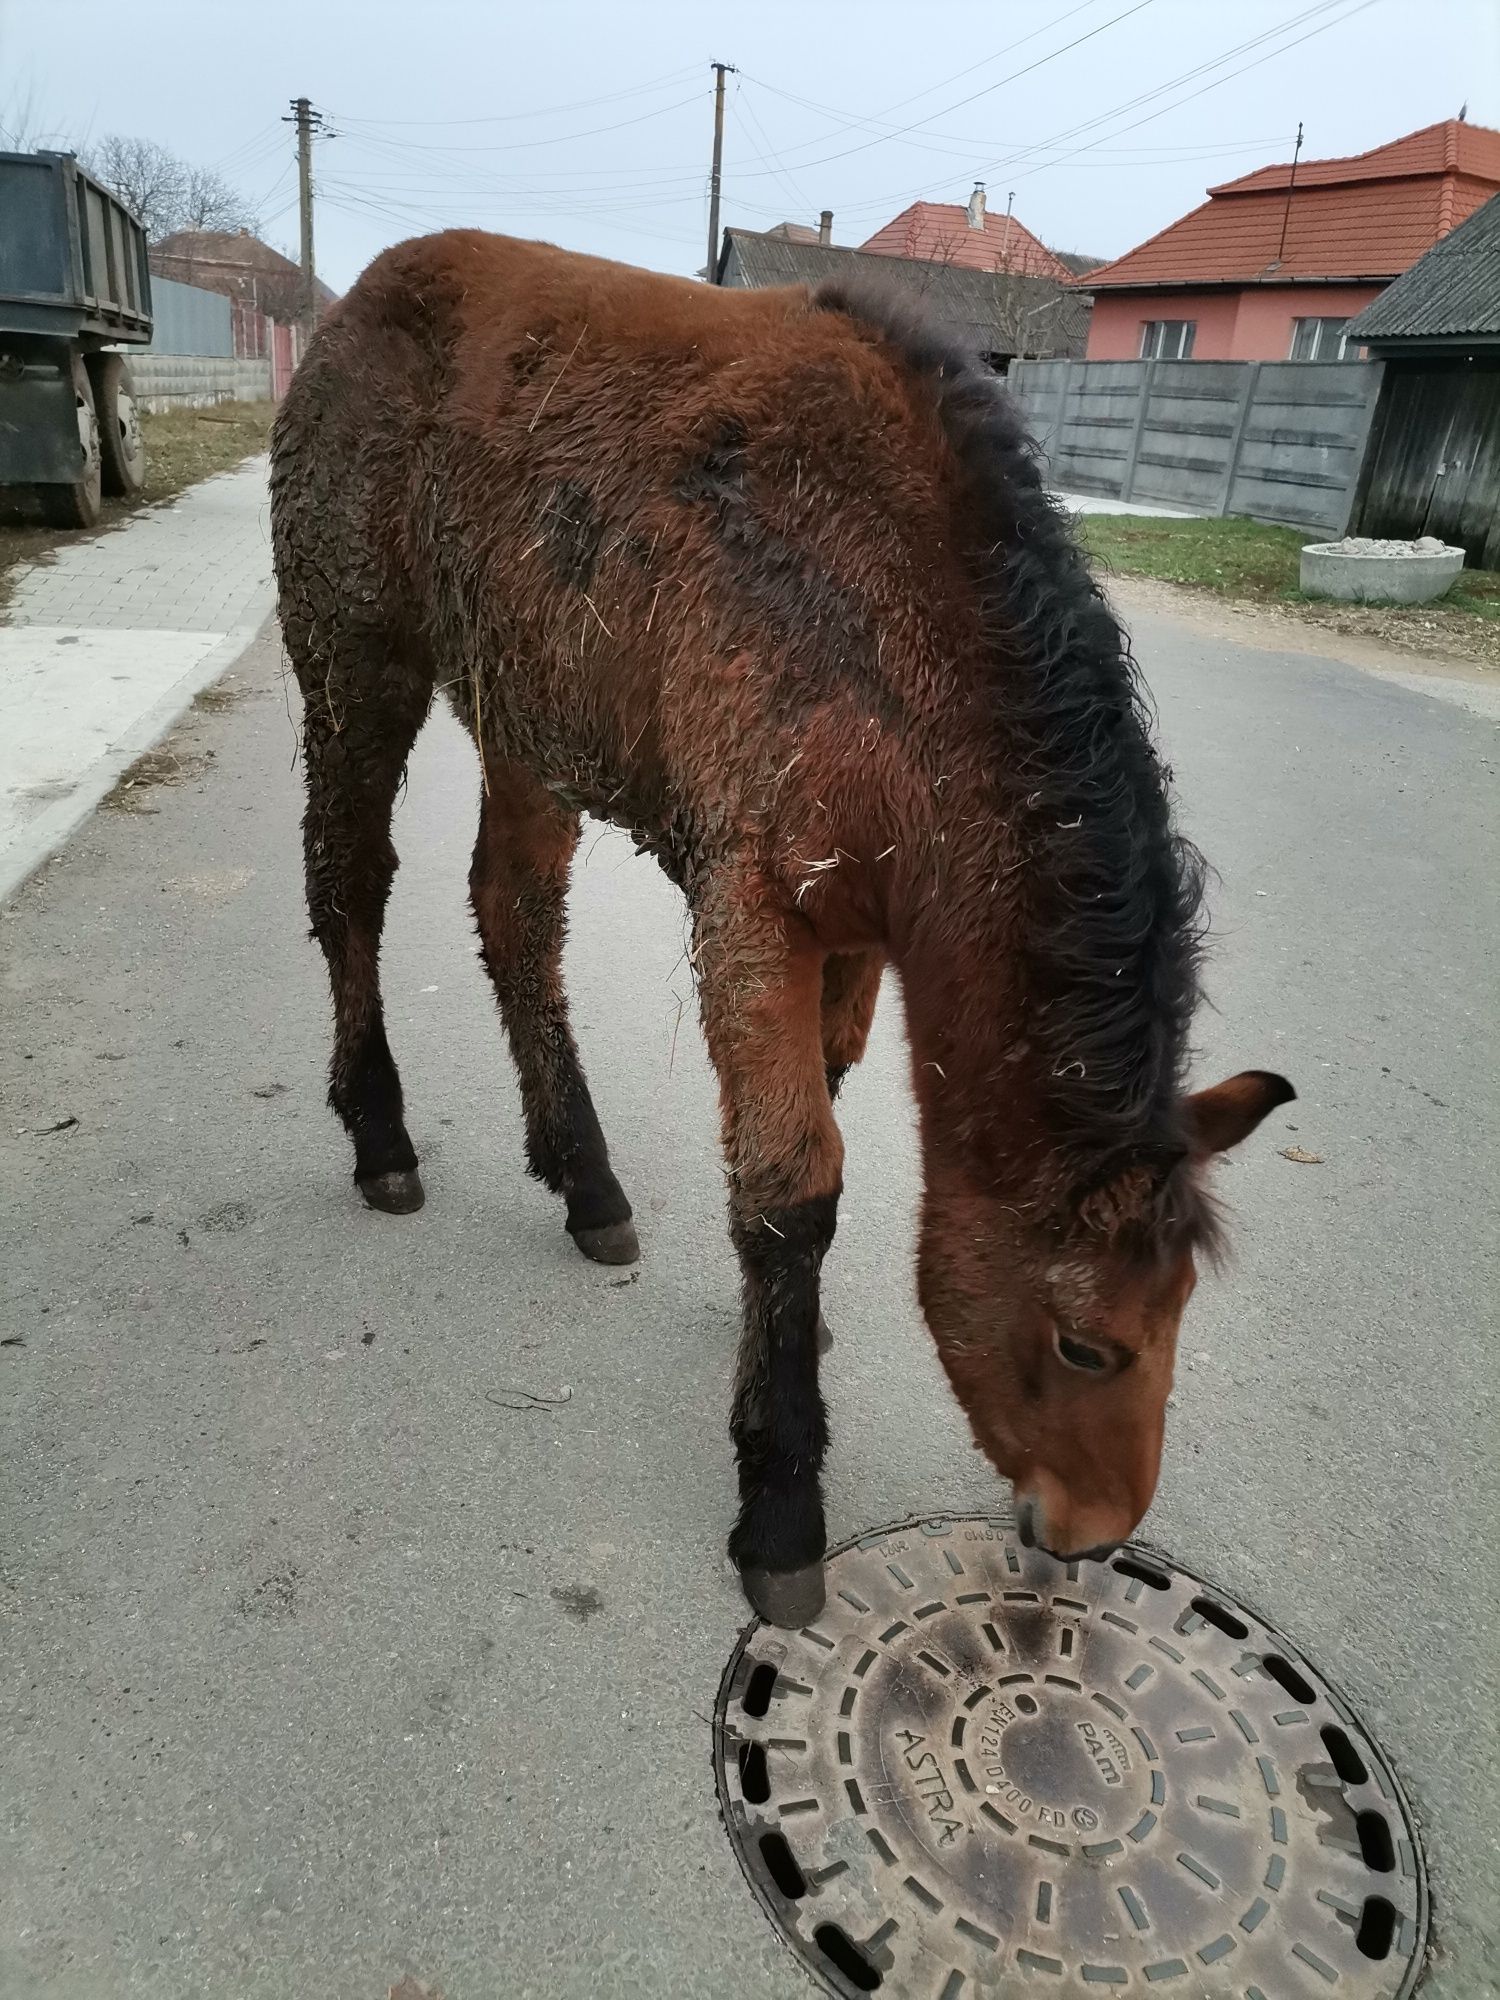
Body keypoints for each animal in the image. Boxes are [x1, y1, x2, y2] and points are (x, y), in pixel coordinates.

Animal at [274, 234, 1296, 1624]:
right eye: (1087, 1342)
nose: (1092, 1534)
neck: (886, 635)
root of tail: (362, 298)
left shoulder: (862, 929)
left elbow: (820, 1104)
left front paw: (781, 1343)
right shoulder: (753, 906)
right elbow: (792, 1181)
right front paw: (781, 1493)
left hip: (526, 707)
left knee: (514, 912)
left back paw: (584, 1176)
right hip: (356, 661)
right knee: (350, 885)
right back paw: (379, 1131)